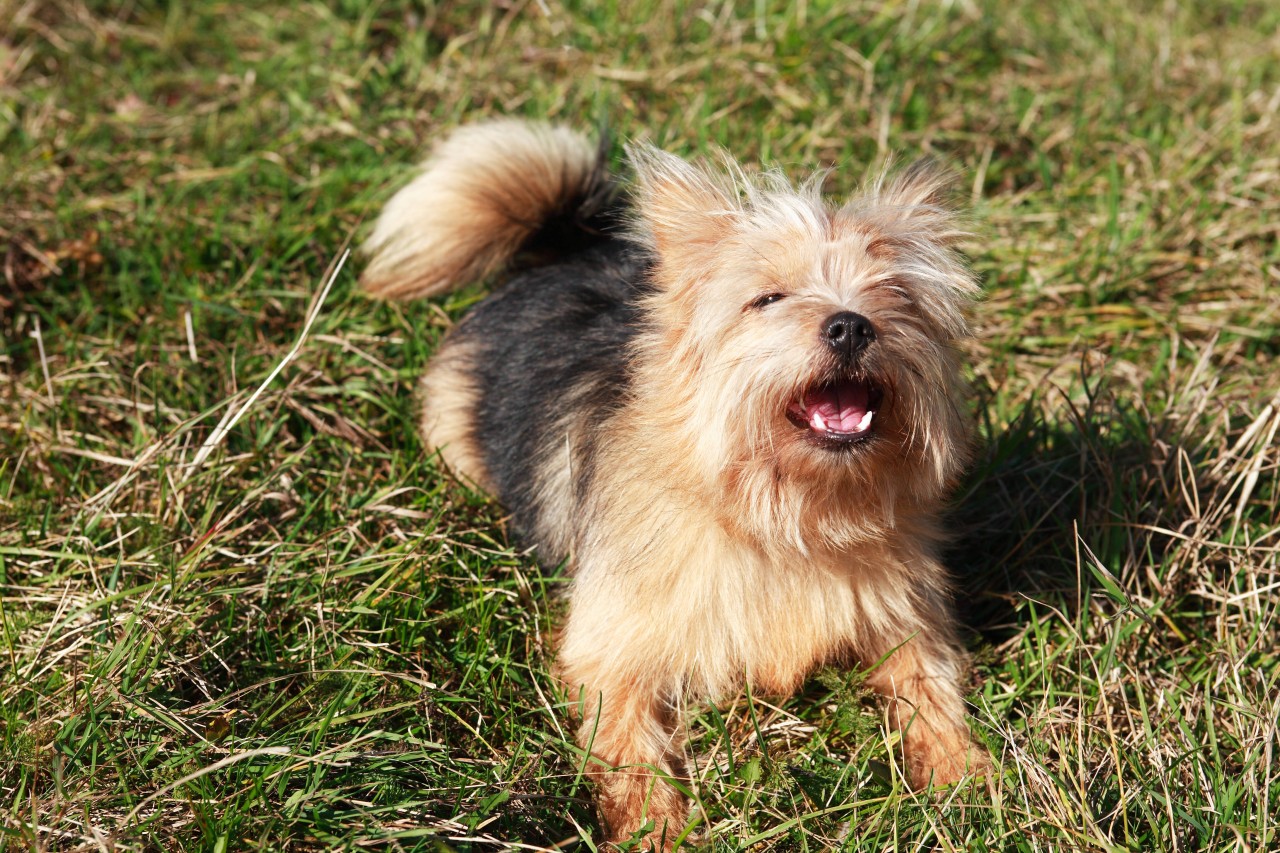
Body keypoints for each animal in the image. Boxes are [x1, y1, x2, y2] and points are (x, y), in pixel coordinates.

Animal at [360, 121, 988, 850]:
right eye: (768, 298)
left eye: (896, 293)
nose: (851, 323)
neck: (786, 515)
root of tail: (563, 250)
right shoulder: (611, 642)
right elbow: (627, 740)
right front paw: (656, 827)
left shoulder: (904, 611)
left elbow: (928, 682)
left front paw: (962, 774)